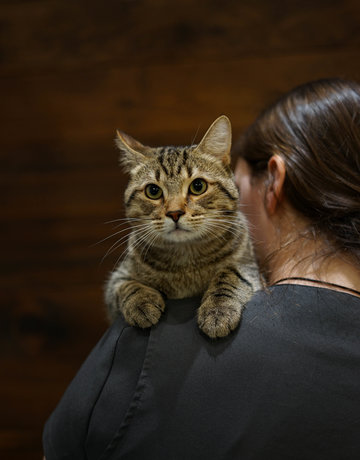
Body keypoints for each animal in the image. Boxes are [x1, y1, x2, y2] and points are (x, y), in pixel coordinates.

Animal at [104, 115, 262, 338]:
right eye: (153, 191)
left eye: (198, 186)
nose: (174, 213)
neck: (186, 263)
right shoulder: (116, 282)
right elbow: (126, 286)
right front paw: (141, 302)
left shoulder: (251, 268)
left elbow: (230, 275)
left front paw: (218, 310)